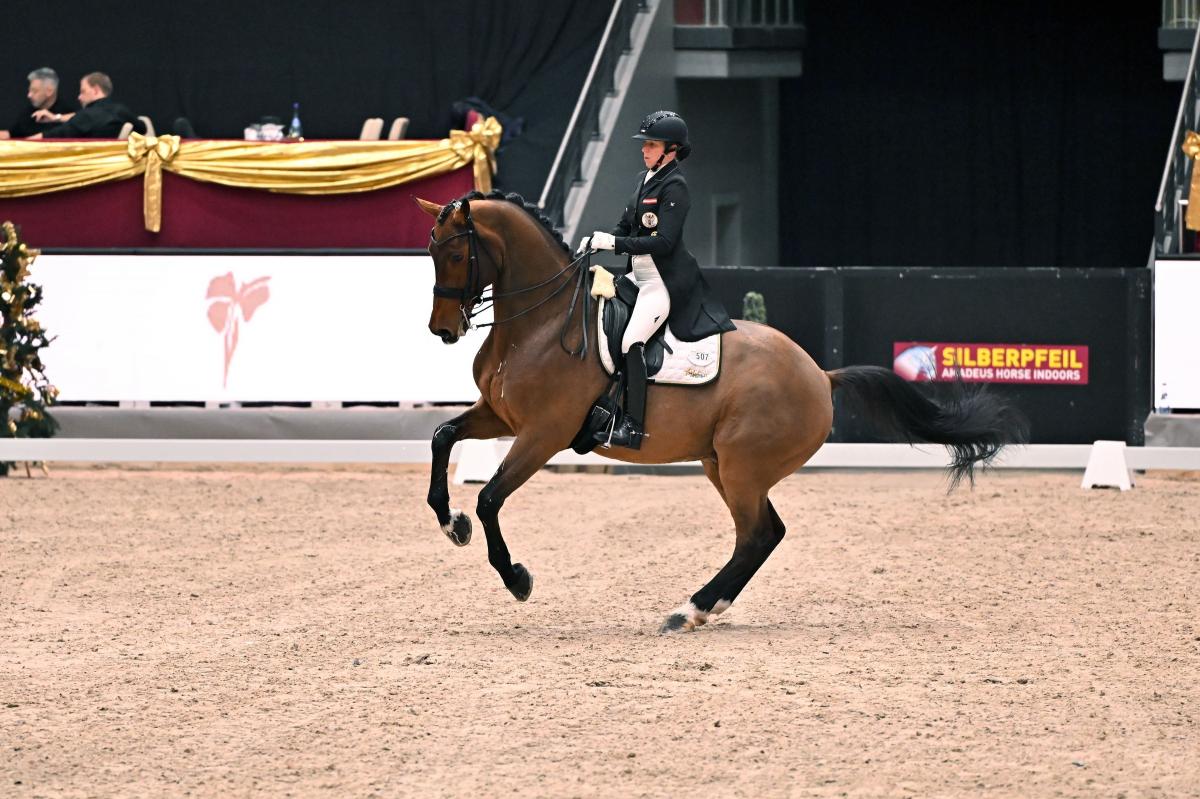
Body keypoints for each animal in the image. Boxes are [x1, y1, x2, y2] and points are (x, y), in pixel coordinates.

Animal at [417, 189, 1027, 633]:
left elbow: (491, 497)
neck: (540, 325)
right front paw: (451, 523)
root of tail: (819, 375)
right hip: (724, 465)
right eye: (430, 252)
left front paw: (516, 577)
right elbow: (443, 436)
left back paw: (688, 609)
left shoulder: (543, 434)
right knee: (764, 533)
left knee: (757, 535)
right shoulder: (501, 418)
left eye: (455, 253)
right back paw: (703, 608)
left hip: (740, 465)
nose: (443, 331)